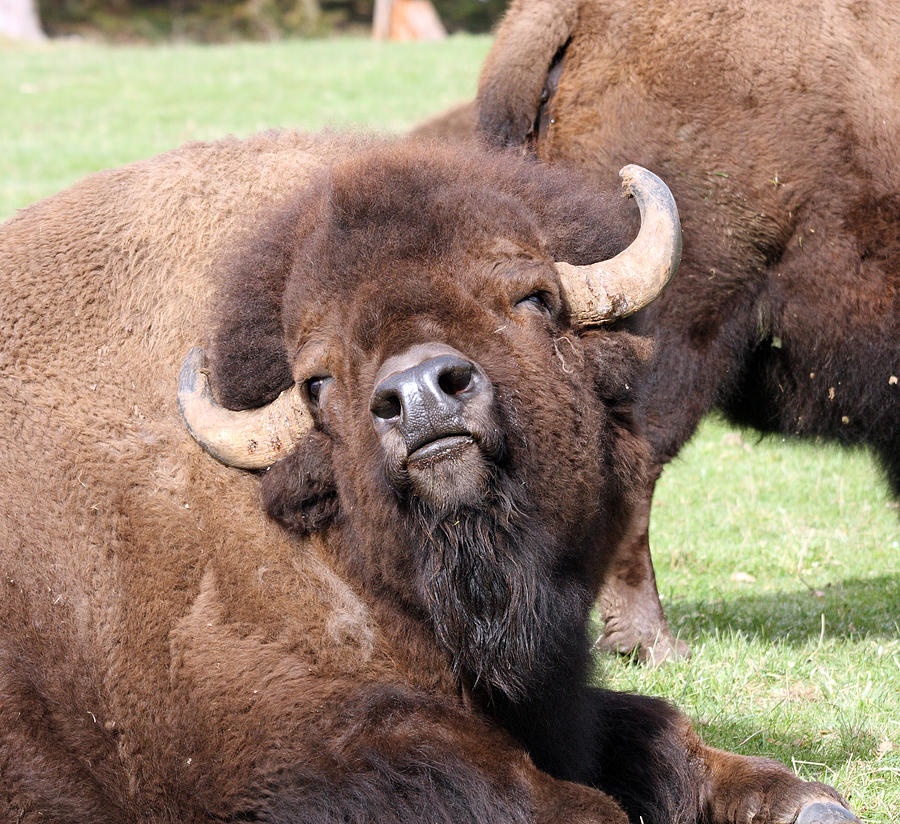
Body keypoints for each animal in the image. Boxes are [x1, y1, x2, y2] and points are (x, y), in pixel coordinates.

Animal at [0, 132, 856, 820]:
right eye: (317, 382)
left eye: (533, 297)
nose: (417, 395)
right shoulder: (291, 742)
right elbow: (553, 797)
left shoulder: (553, 694)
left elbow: (656, 727)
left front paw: (806, 803)